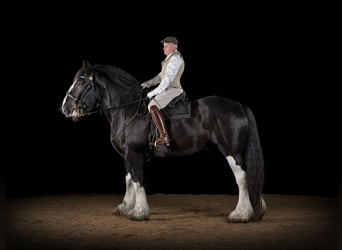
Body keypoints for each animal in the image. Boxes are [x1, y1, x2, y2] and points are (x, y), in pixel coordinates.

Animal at [60, 60, 268, 223]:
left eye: (81, 82)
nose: (65, 108)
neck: (128, 109)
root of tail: (238, 105)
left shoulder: (133, 153)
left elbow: (138, 180)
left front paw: (139, 212)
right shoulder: (126, 155)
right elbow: (128, 178)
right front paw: (125, 207)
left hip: (232, 152)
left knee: (242, 178)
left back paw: (240, 214)